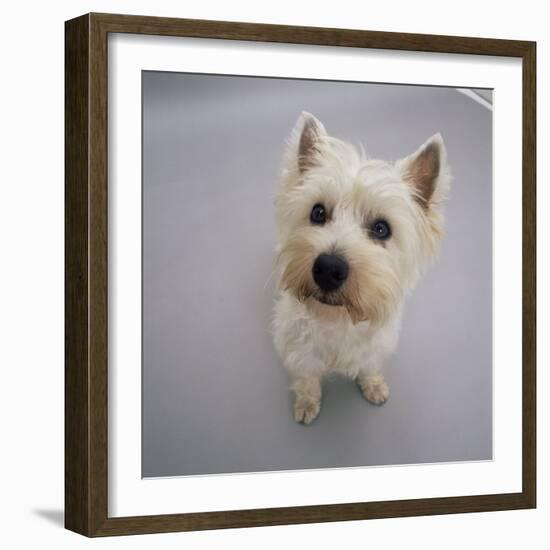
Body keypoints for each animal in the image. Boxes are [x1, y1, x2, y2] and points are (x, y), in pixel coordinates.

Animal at [274, 113, 450, 426]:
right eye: (318, 212)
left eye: (381, 228)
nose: (328, 268)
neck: (338, 319)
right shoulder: (299, 352)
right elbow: (307, 380)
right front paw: (306, 403)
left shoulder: (376, 347)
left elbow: (369, 366)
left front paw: (374, 386)